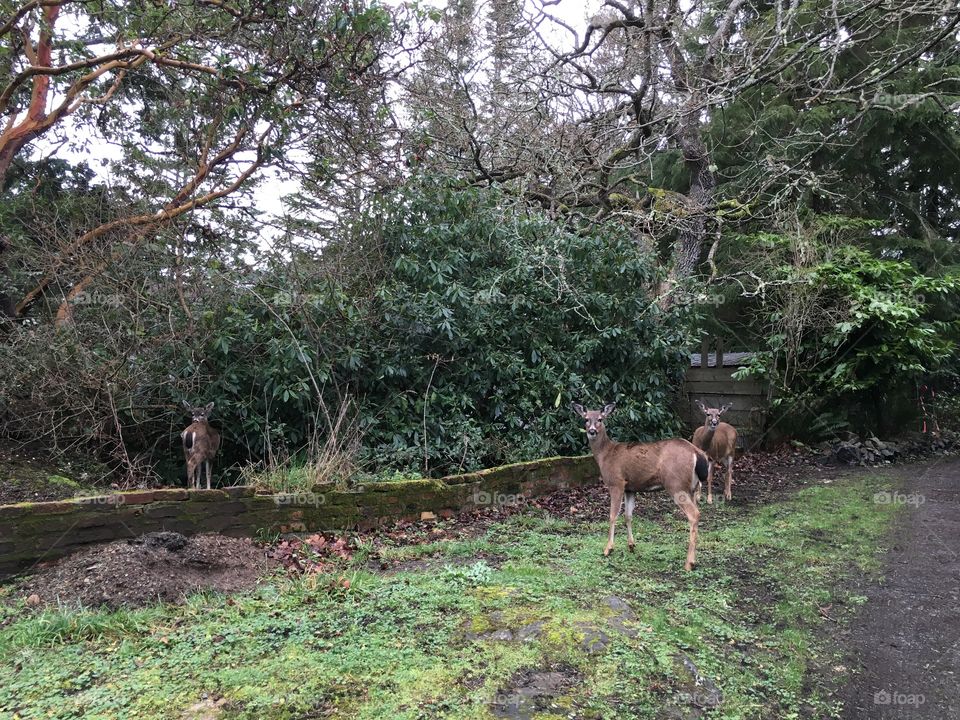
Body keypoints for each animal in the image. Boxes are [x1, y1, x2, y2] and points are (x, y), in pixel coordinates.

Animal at [568, 402, 712, 572]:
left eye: (600, 419)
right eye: (585, 419)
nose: (592, 431)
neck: (606, 455)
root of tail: (697, 453)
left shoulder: (616, 482)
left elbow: (612, 515)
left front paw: (608, 549)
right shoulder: (630, 488)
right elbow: (628, 515)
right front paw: (631, 545)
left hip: (676, 484)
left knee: (694, 514)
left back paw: (689, 563)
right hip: (692, 487)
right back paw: (694, 560)